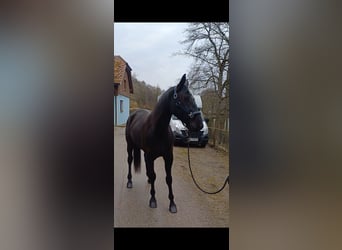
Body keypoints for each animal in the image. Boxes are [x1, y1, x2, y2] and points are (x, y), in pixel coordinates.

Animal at [125, 73, 203, 213]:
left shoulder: (168, 157)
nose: (199, 124)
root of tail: (134, 114)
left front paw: (172, 203)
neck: (158, 130)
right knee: (130, 160)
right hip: (130, 146)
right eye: (185, 98)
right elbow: (154, 175)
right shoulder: (151, 156)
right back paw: (129, 181)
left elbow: (168, 178)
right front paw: (153, 199)